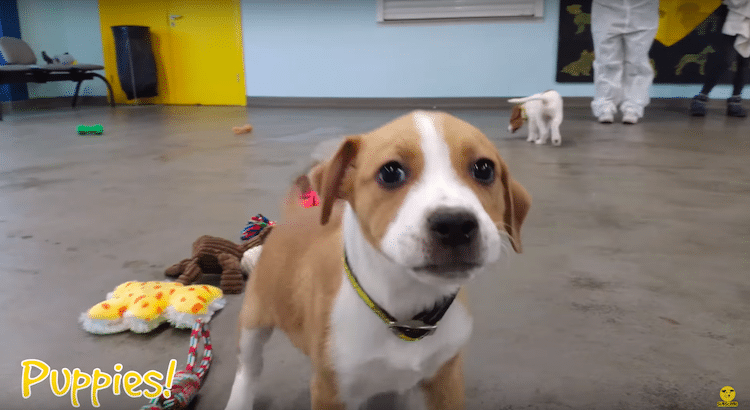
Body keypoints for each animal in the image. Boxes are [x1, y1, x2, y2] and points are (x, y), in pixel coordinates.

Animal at [222, 110, 528, 410]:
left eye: (484, 169)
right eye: (390, 173)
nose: (454, 224)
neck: (404, 314)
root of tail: (294, 216)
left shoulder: (447, 379)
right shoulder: (330, 391)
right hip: (253, 320)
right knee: (249, 367)